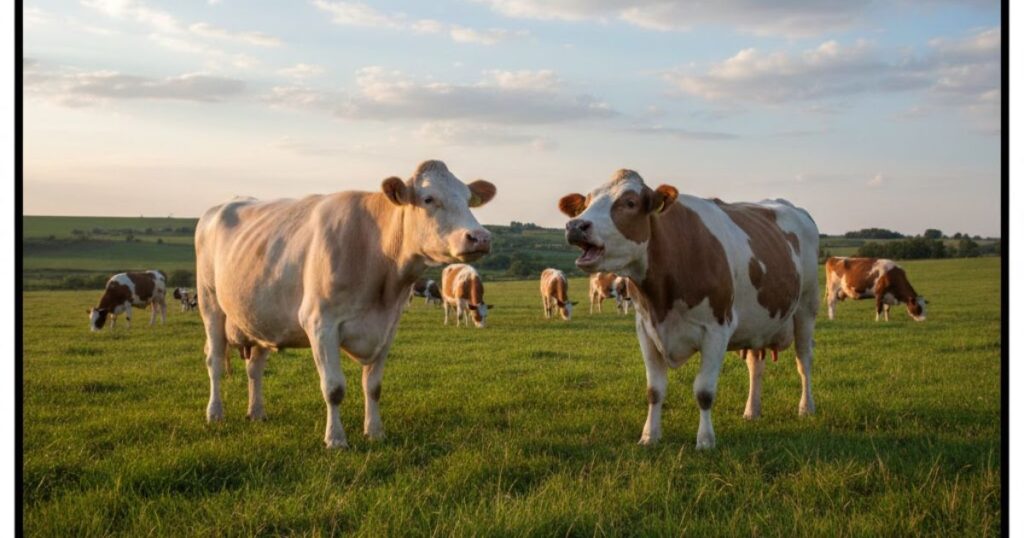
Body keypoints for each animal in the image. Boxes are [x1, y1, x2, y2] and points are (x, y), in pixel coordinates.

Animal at [194, 160, 495, 448]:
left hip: (259, 317)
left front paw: (375, 432)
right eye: (429, 198)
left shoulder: (387, 327)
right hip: (210, 303)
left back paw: (256, 412)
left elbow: (373, 386)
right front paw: (336, 439)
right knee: (215, 360)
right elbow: (334, 388)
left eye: (468, 198)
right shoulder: (320, 324)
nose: (480, 237)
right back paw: (215, 413)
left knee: (254, 368)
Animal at [559, 169, 819, 450]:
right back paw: (752, 410)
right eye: (586, 202)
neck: (662, 297)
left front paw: (705, 440)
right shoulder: (646, 330)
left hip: (806, 307)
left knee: (803, 359)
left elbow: (704, 391)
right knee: (755, 365)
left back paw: (806, 407)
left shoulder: (717, 330)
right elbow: (654, 390)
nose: (576, 225)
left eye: (629, 202)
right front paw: (649, 436)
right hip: (759, 322)